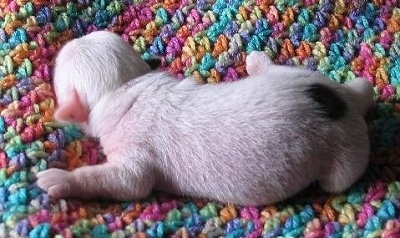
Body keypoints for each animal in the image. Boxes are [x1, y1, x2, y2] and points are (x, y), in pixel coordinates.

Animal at [36, 31, 374, 206]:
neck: (125, 86)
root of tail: (344, 103)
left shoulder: (135, 157)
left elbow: (125, 183)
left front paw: (60, 180)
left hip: (345, 157)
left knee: (339, 180)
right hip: (298, 76)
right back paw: (257, 62)